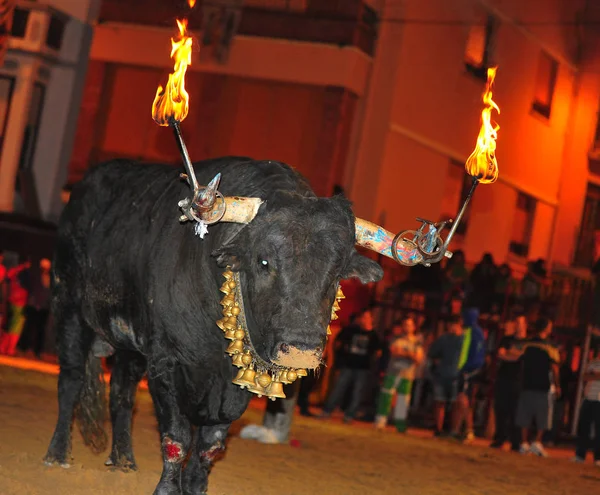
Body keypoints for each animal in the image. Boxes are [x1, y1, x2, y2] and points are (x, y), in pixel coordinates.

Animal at [45, 157, 384, 494]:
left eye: (337, 273)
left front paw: (195, 487)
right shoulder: (165, 363)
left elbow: (209, 446)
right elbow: (177, 438)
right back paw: (58, 455)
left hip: (130, 345)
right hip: (69, 308)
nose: (300, 351)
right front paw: (167, 489)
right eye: (263, 262)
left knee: (121, 394)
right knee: (71, 381)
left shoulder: (232, 389)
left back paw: (124, 461)